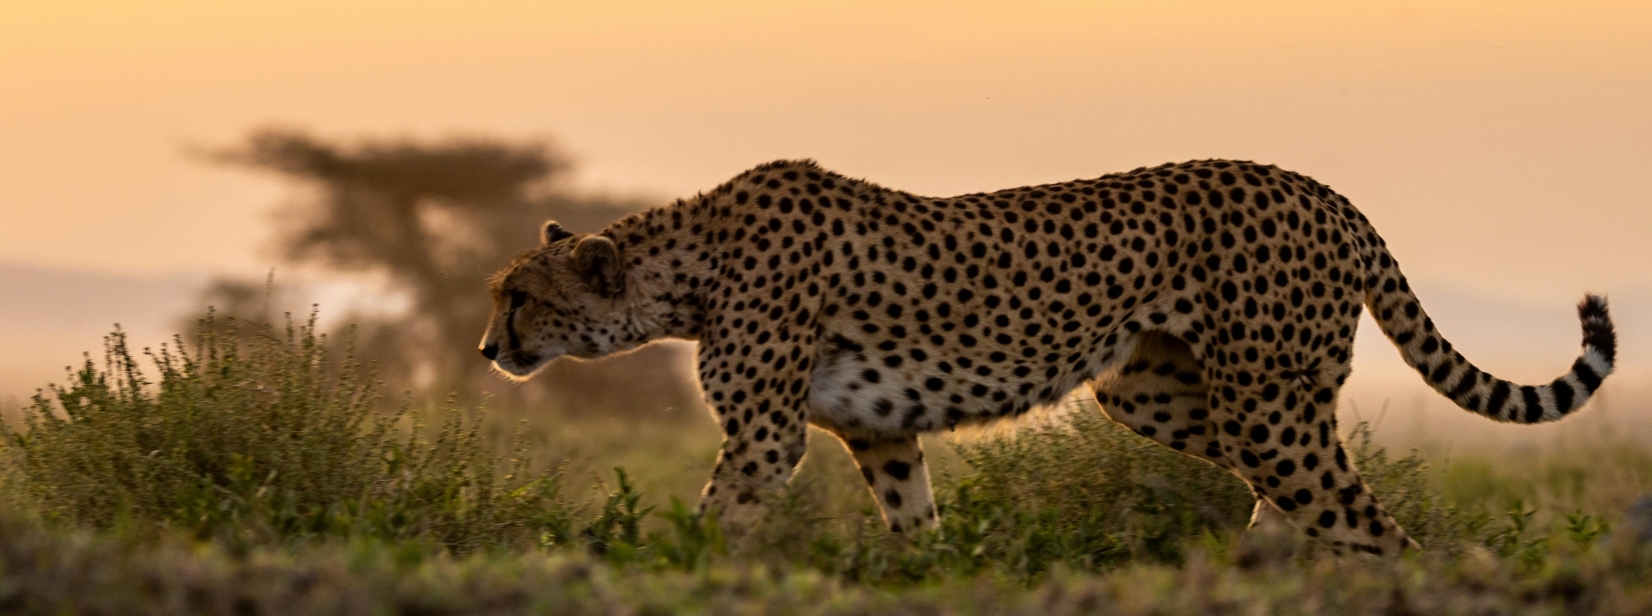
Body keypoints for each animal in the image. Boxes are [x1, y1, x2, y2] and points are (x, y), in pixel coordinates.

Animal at [477, 159, 1615, 555]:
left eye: (520, 297)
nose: (487, 347)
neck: (688, 267)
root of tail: (1321, 187)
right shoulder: (878, 433)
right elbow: (915, 526)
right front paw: (928, 577)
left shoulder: (764, 437)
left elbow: (712, 520)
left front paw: (659, 566)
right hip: (1160, 393)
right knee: (1310, 495)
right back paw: (1263, 566)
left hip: (1259, 403)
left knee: (1367, 521)